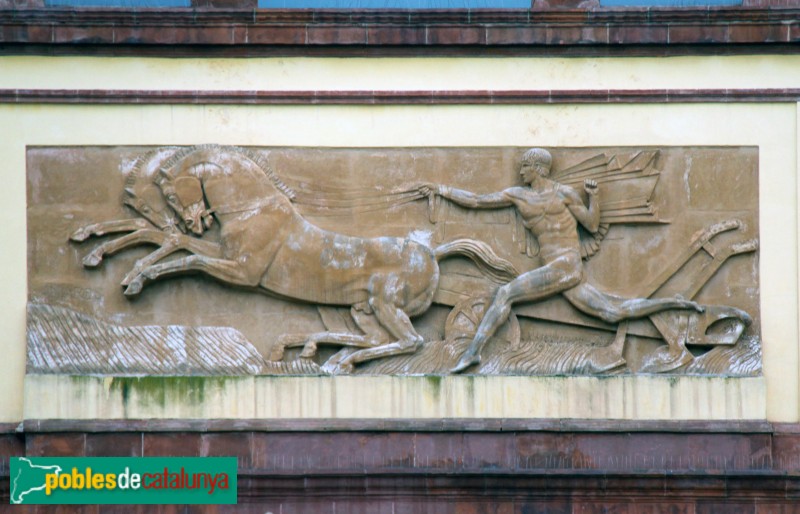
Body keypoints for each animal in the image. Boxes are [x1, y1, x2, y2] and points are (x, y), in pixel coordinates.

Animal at [122, 144, 516, 372]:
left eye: (171, 194)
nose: (195, 222)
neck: (253, 209)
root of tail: (431, 251)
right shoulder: (225, 255)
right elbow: (179, 246)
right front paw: (132, 272)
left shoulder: (241, 271)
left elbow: (189, 259)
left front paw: (138, 278)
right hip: (363, 308)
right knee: (376, 338)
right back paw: (317, 352)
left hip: (387, 305)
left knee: (411, 341)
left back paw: (333, 356)